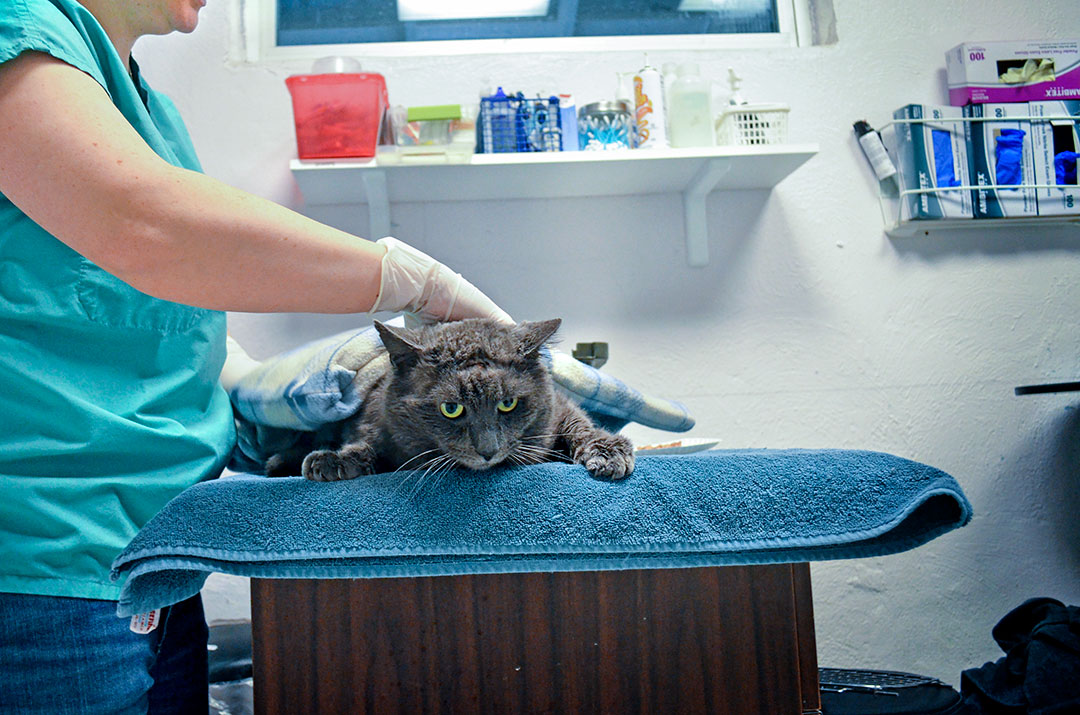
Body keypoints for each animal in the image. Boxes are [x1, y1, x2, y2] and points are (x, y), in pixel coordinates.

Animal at [265, 319, 630, 483]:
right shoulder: (375, 421)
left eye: (508, 404)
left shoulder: (559, 410)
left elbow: (580, 425)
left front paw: (608, 454)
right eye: (451, 408)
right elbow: (367, 444)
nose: (487, 451)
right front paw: (334, 461)